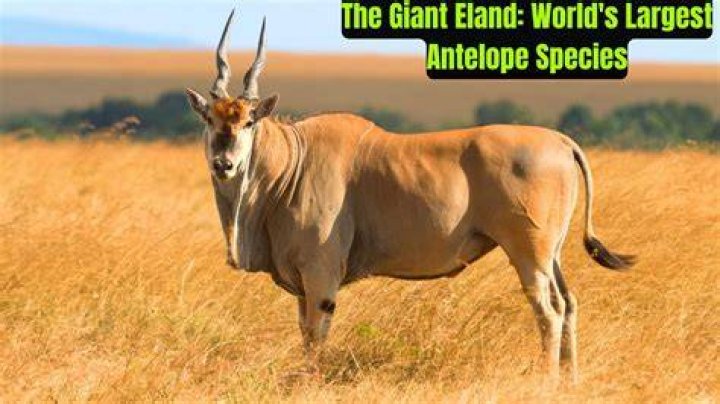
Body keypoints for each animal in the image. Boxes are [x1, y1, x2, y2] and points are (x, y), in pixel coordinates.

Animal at [185, 11, 635, 381]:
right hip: (551, 254)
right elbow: (304, 334)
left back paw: (549, 381)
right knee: (570, 303)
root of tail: (560, 140)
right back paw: (572, 380)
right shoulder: (302, 284)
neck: (293, 161)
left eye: (248, 122)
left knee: (550, 311)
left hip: (529, 254)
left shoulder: (320, 276)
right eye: (210, 119)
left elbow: (315, 338)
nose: (224, 164)